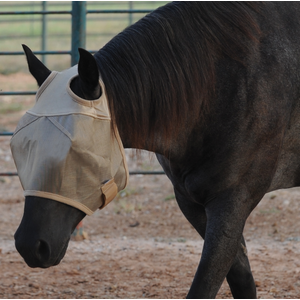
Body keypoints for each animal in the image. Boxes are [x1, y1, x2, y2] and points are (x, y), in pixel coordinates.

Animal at [11, 1, 300, 298]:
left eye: (76, 149)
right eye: (21, 147)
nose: (30, 245)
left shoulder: (233, 201)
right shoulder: (190, 200)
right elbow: (241, 277)